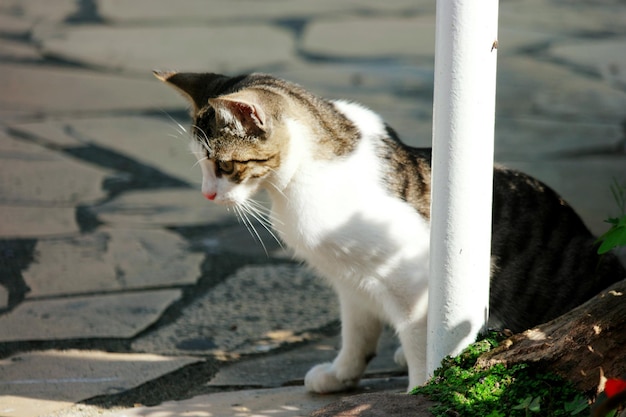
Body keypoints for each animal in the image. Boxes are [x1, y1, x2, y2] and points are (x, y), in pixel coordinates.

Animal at [152, 70, 624, 392]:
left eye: (222, 165)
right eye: (201, 164)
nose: (207, 195)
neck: (298, 183)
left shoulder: (410, 280)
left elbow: (417, 342)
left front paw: (419, 391)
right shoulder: (350, 281)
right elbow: (356, 334)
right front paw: (340, 376)